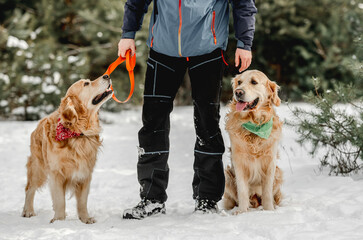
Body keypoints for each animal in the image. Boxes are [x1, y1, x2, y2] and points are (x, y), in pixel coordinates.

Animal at [21, 74, 112, 223]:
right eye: (86, 84)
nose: (107, 75)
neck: (78, 132)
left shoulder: (85, 173)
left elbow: (82, 201)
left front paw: (85, 219)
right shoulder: (56, 173)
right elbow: (60, 200)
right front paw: (59, 221)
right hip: (38, 167)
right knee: (30, 188)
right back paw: (28, 210)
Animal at [225, 69, 284, 214]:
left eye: (254, 82)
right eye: (239, 82)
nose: (238, 92)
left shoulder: (270, 161)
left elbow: (267, 191)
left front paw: (269, 210)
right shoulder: (239, 161)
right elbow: (242, 190)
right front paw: (241, 212)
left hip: (278, 173)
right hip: (228, 176)